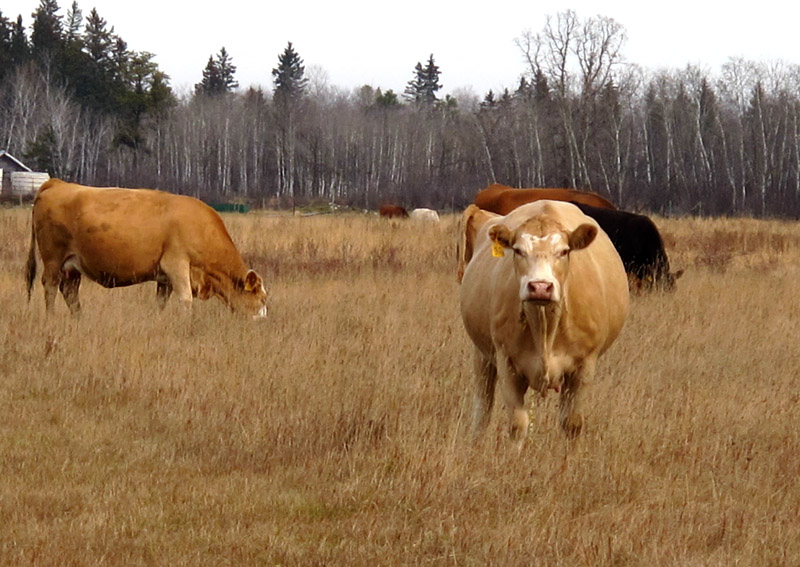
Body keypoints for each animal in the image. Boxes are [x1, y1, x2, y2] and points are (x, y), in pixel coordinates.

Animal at [25, 179, 269, 318]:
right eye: (262, 299)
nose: (263, 319)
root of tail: (57, 183)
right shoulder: (177, 266)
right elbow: (186, 300)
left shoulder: (164, 278)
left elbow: (160, 303)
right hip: (53, 259)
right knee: (50, 287)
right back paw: (51, 317)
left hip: (73, 266)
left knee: (69, 291)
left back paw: (79, 318)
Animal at [459, 201, 629, 448]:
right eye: (518, 250)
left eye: (564, 251)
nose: (540, 286)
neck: (545, 327)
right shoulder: (506, 361)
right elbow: (517, 425)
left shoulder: (584, 365)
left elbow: (571, 424)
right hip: (481, 355)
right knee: (482, 410)